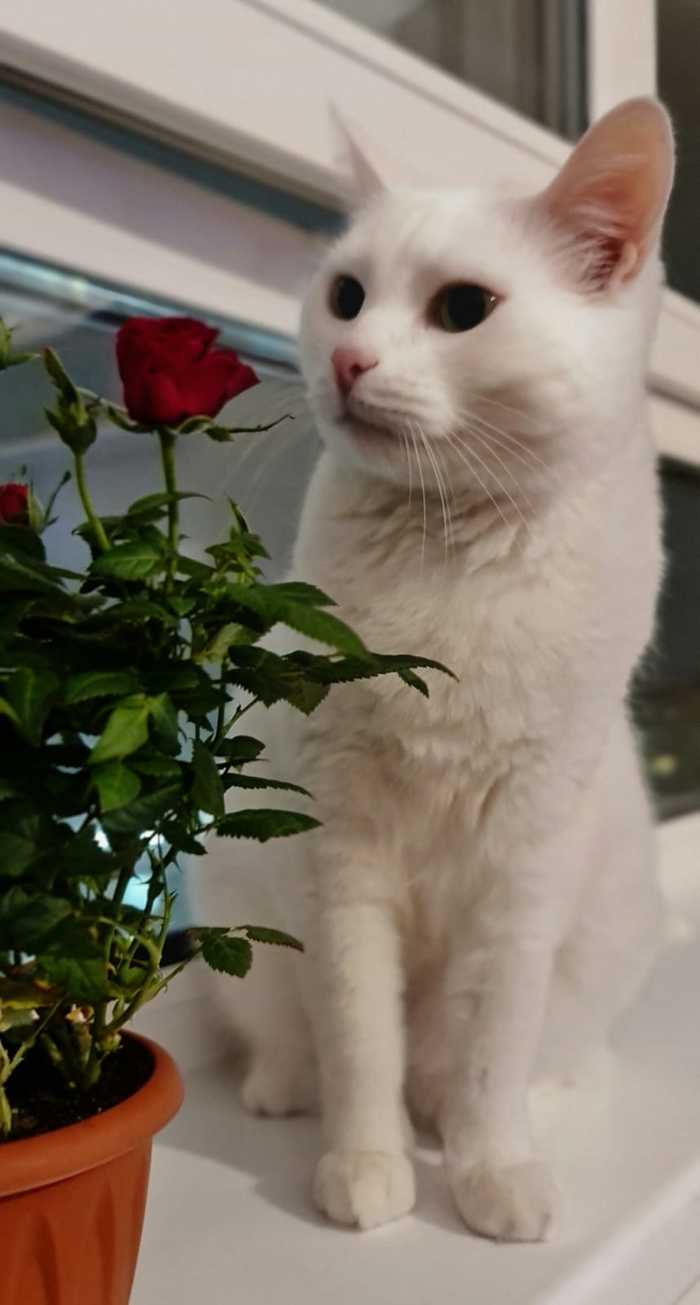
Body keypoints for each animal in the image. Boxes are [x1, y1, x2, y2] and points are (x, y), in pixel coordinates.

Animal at [195, 98, 675, 1241]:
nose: (348, 362)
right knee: (284, 1034)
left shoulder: (529, 854)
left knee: (526, 1052)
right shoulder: (341, 846)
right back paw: (284, 1088)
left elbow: (487, 1050)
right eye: (346, 296)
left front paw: (490, 1168)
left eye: (463, 309)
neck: (451, 550)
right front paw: (368, 1165)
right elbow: (361, 1035)